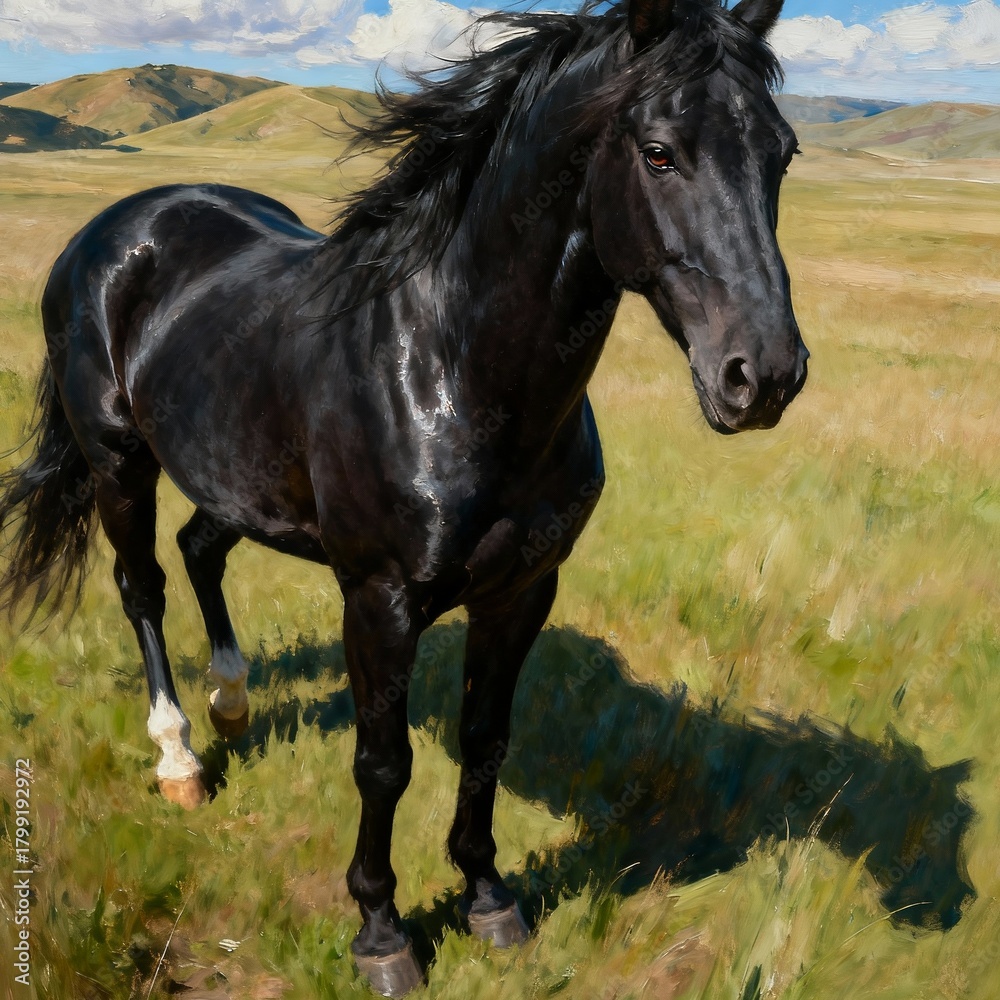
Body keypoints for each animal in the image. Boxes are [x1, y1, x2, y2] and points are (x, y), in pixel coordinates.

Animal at [0, 0, 807, 992]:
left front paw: (488, 897)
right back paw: (180, 756)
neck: (451, 365)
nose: (763, 374)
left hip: (229, 468)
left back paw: (232, 701)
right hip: (118, 461)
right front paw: (382, 932)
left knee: (200, 551)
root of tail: (116, 227)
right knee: (142, 588)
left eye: (782, 154)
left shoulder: (522, 591)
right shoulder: (378, 599)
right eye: (659, 152)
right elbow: (383, 762)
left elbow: (485, 739)